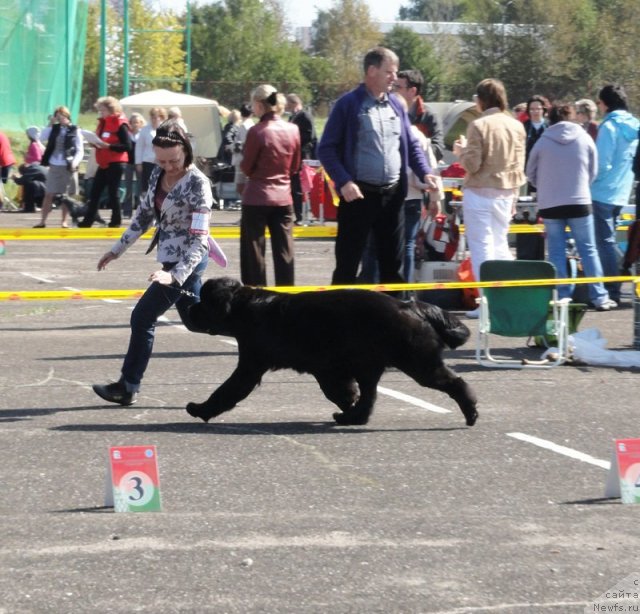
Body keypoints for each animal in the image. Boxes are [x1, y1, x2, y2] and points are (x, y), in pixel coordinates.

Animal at [185, 280, 476, 428]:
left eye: (204, 300)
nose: (188, 308)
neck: (243, 307)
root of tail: (411, 306)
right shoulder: (327, 369)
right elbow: (340, 392)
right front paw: (348, 403)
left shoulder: (251, 364)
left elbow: (227, 390)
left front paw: (199, 409)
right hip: (371, 364)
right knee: (369, 396)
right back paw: (351, 418)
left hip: (418, 362)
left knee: (456, 383)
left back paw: (471, 413)